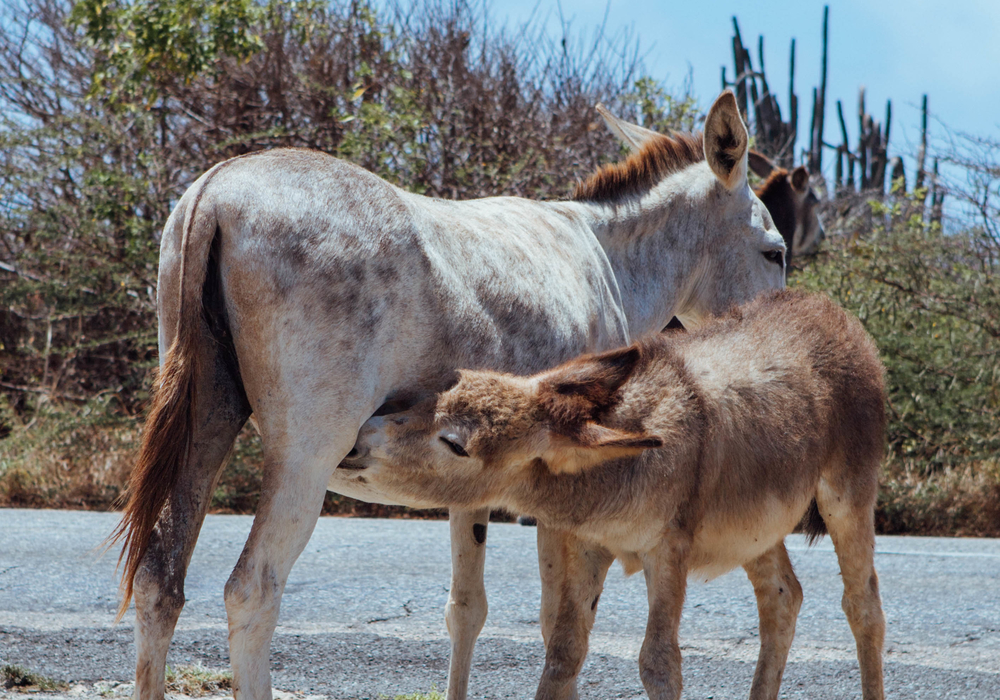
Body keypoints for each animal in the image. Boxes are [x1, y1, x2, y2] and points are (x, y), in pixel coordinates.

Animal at [348, 288, 888, 700]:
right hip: (755, 531)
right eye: (448, 388)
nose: (358, 437)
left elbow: (659, 663)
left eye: (455, 444)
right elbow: (563, 655)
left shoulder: (668, 552)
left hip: (847, 500)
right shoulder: (587, 548)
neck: (618, 471)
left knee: (863, 608)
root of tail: (826, 307)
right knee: (782, 598)